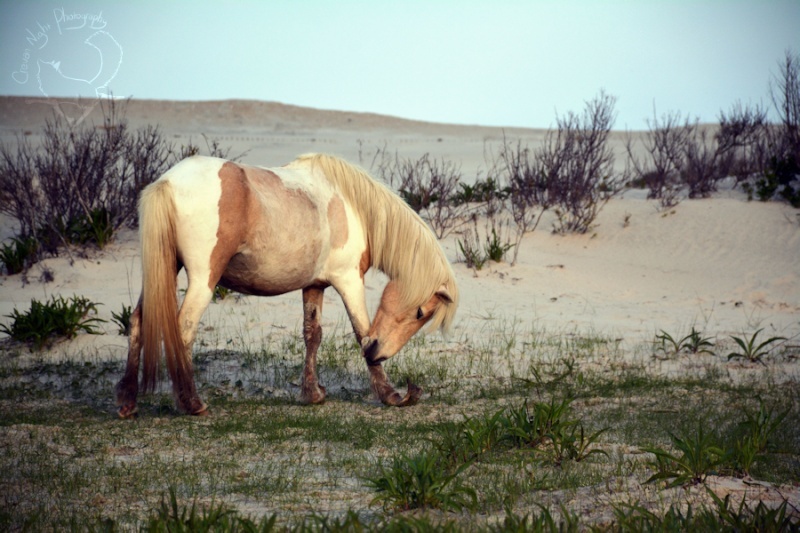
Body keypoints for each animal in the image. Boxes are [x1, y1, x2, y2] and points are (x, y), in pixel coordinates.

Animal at [115, 152, 460, 418]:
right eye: (421, 313)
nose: (377, 355)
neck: (353, 207)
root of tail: (168, 182)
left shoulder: (315, 286)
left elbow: (312, 335)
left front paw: (312, 393)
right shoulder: (348, 280)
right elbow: (360, 330)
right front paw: (391, 395)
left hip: (162, 270)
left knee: (139, 322)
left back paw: (128, 402)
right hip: (202, 280)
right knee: (183, 330)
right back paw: (192, 403)